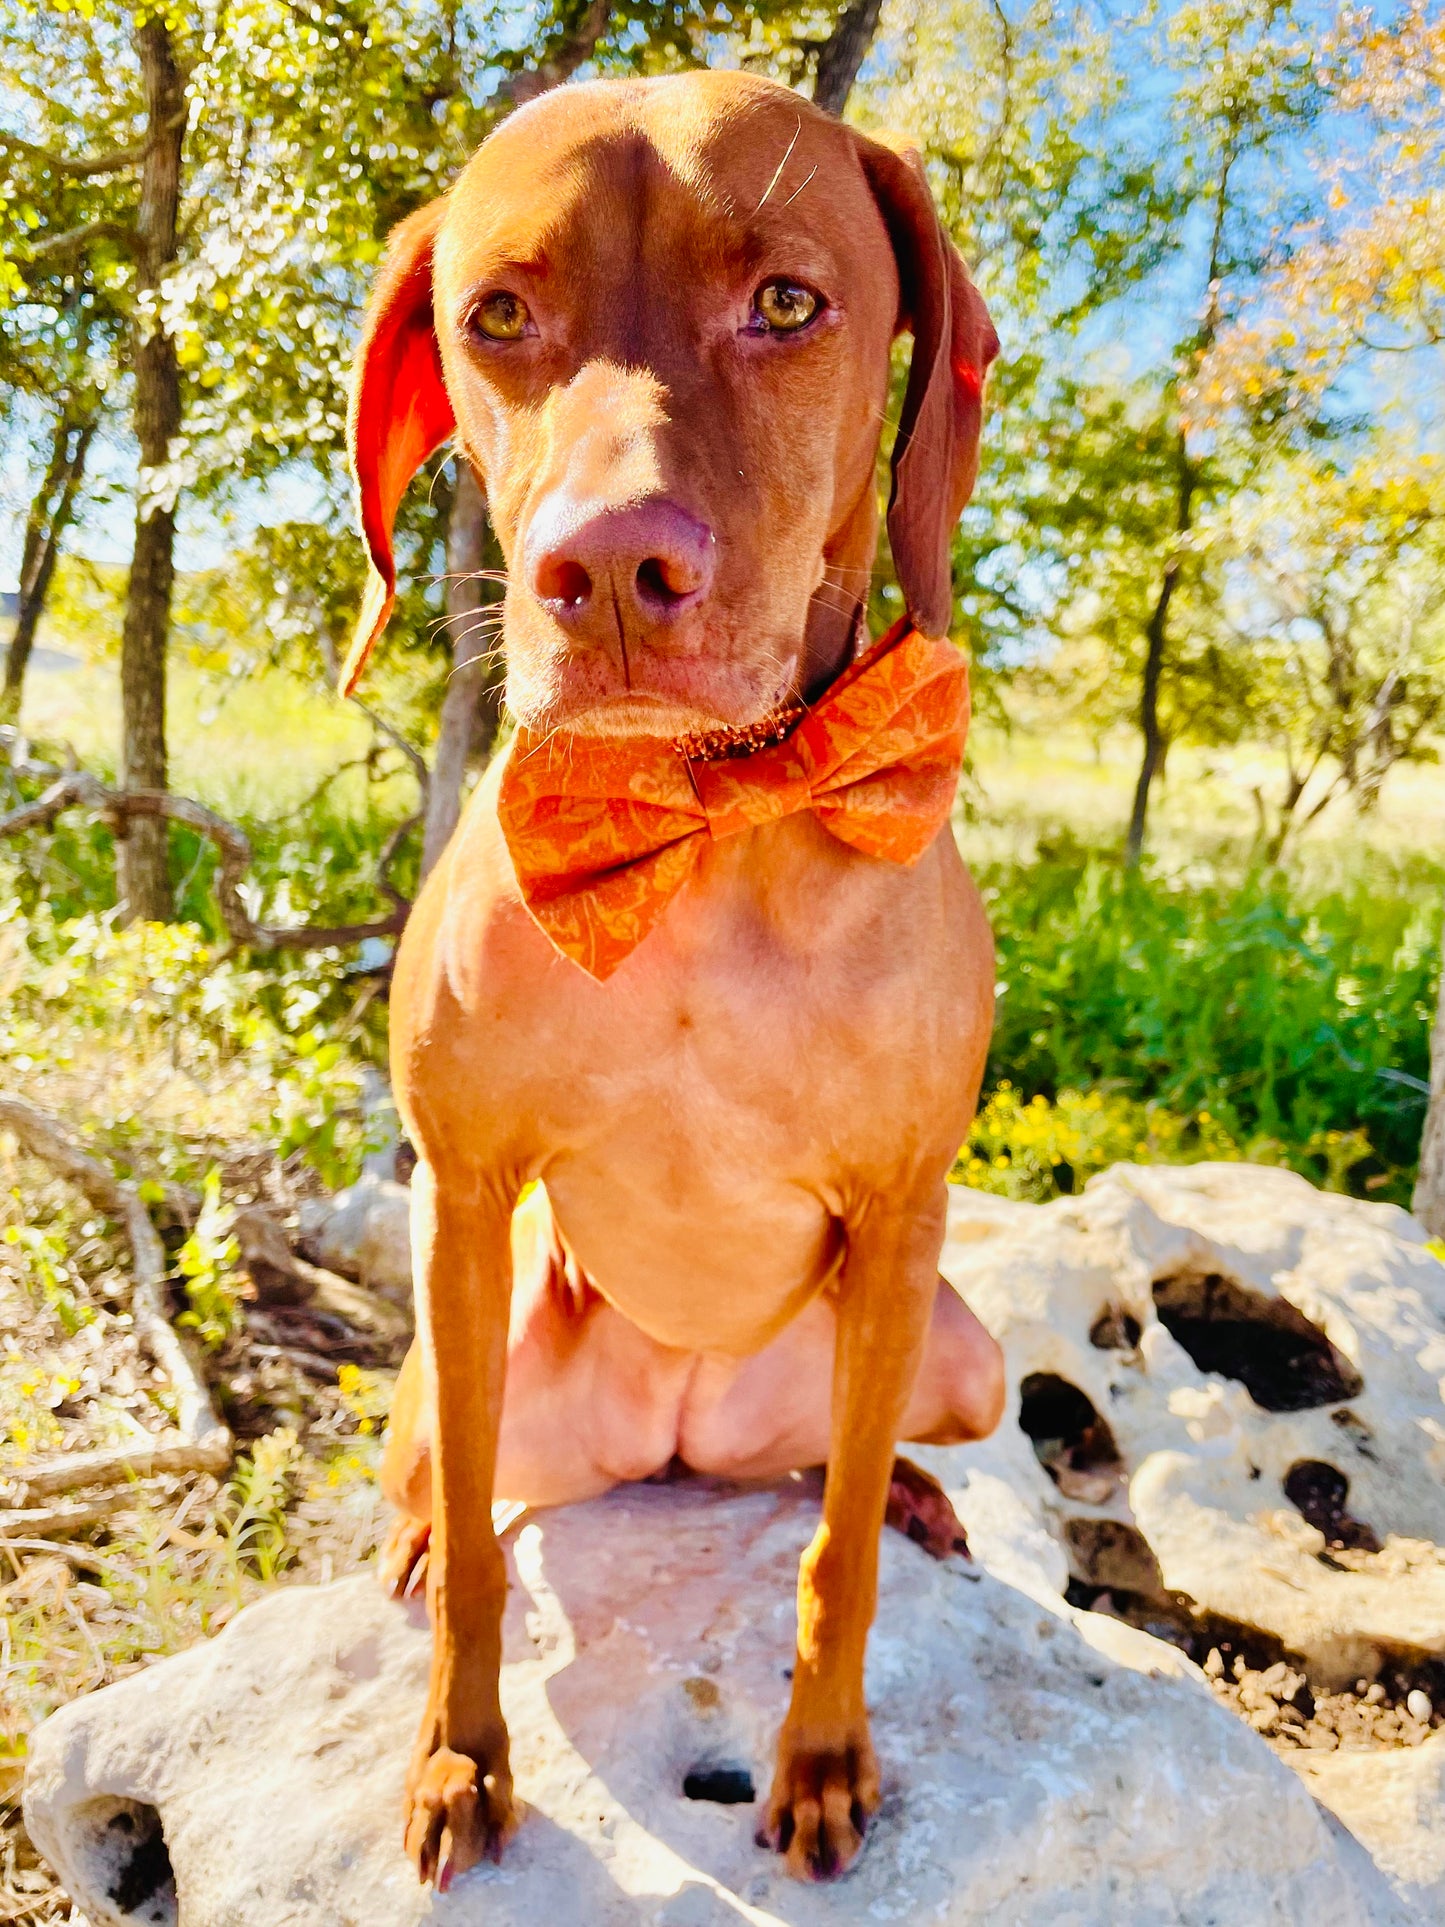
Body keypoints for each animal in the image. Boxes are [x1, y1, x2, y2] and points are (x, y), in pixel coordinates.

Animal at [350, 67, 1009, 1888]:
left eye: (785, 302)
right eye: (498, 316)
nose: (610, 569)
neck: (705, 822)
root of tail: (681, 1434)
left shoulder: (905, 1209)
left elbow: (837, 1556)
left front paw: (825, 1750)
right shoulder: (461, 1192)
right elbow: (486, 1565)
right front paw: (459, 1752)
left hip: (952, 1345)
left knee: (834, 1471)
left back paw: (913, 1492)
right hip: (461, 1360)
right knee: (451, 1485)